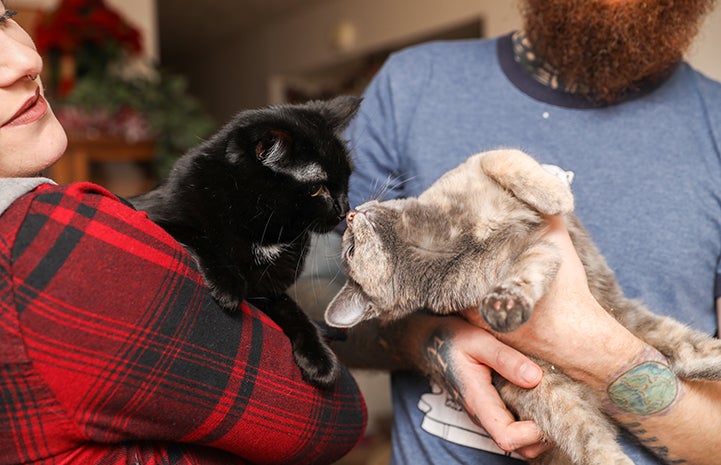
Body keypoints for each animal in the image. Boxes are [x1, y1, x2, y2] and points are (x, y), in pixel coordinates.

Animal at [130, 95, 360, 388]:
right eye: (317, 189)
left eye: (347, 178)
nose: (345, 209)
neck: (266, 231)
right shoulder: (155, 216)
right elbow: (198, 236)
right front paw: (228, 286)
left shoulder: (266, 290)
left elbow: (294, 311)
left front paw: (320, 359)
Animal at [324, 150, 720, 464]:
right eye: (350, 251)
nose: (350, 214)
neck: (438, 240)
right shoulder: (525, 258)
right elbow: (519, 280)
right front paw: (504, 305)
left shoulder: (483, 169)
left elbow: (508, 162)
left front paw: (557, 194)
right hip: (552, 397)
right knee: (598, 446)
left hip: (638, 325)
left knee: (680, 353)